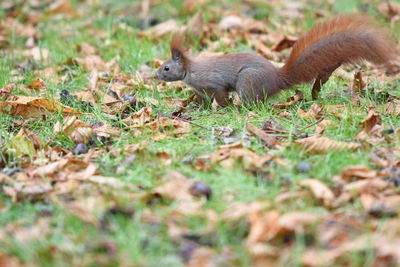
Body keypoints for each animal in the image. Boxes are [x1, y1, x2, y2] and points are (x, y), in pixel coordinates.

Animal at [155, 14, 396, 107]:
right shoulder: (200, 90)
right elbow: (203, 99)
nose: (155, 75)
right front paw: (198, 109)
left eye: (166, 67)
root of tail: (278, 79)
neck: (189, 71)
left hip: (247, 81)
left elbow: (221, 96)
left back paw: (241, 107)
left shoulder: (214, 83)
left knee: (255, 101)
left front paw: (225, 107)